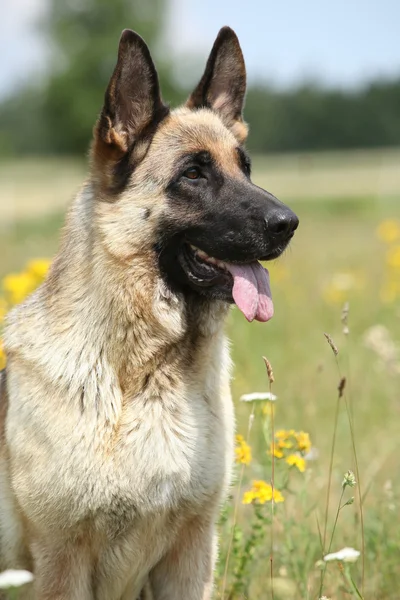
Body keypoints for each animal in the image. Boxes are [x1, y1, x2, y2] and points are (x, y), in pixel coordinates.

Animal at [0, 25, 296, 596]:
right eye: (194, 174)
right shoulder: (61, 563)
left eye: (246, 169)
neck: (149, 373)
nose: (289, 223)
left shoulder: (191, 552)